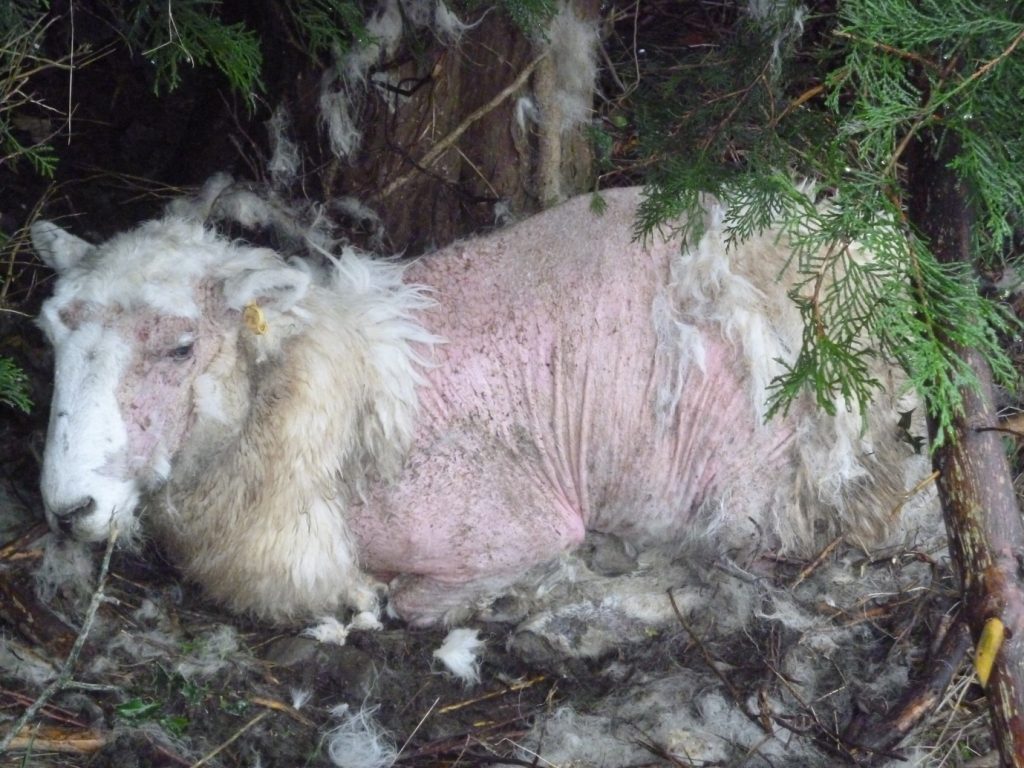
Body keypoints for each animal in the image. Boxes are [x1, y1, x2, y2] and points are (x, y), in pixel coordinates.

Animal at [32, 186, 933, 626]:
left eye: (181, 347)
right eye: (47, 332)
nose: (67, 508)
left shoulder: (506, 524)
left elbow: (412, 602)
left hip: (765, 485)